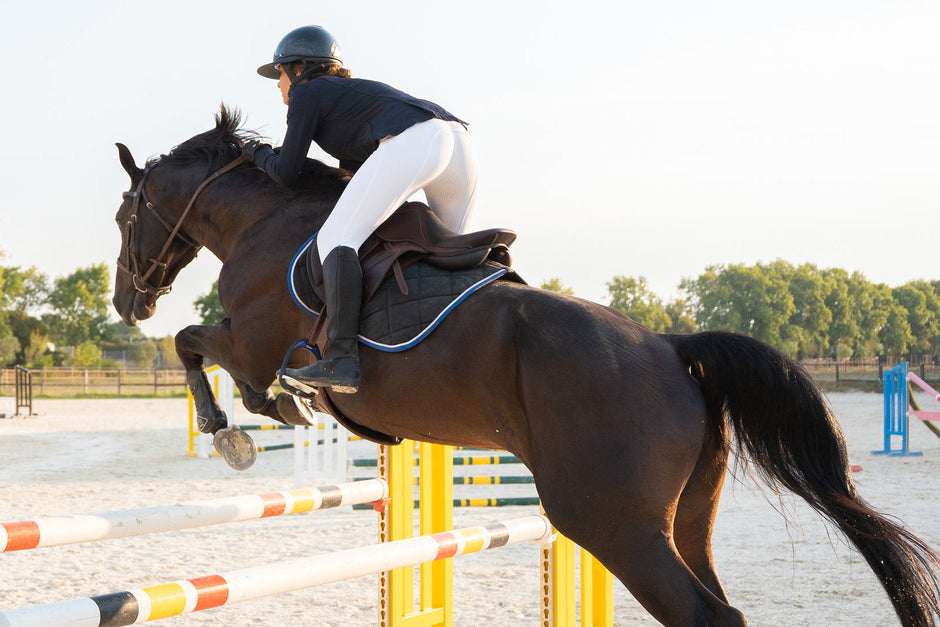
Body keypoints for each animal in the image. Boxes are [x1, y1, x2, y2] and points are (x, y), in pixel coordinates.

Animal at [111, 106, 940, 626]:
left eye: (125, 216)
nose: (128, 300)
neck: (266, 218)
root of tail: (672, 348)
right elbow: (201, 349)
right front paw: (261, 415)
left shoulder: (251, 341)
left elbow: (197, 346)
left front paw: (239, 425)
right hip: (680, 517)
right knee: (718, 600)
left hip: (610, 521)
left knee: (708, 612)